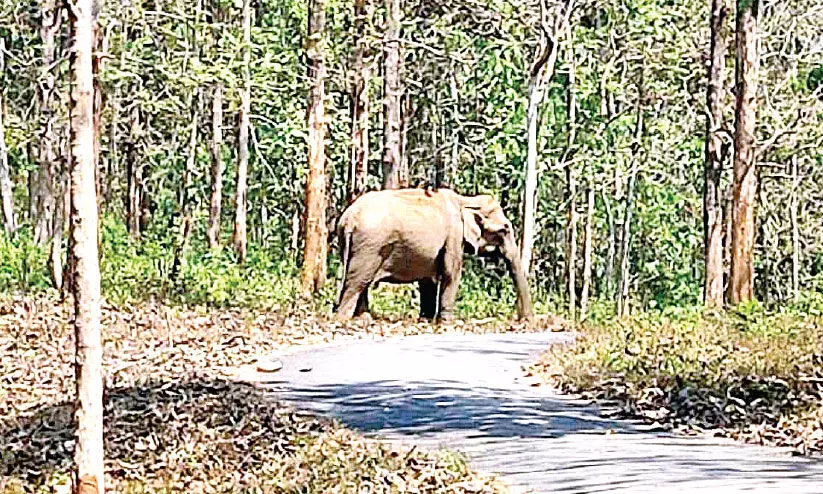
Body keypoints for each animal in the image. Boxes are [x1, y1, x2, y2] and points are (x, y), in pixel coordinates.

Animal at [334, 188, 536, 320]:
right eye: (504, 229)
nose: (525, 320)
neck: (465, 200)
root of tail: (348, 218)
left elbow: (428, 279)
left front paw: (426, 320)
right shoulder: (454, 235)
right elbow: (451, 273)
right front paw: (446, 323)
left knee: (360, 282)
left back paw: (363, 319)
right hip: (369, 247)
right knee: (357, 281)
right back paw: (344, 319)